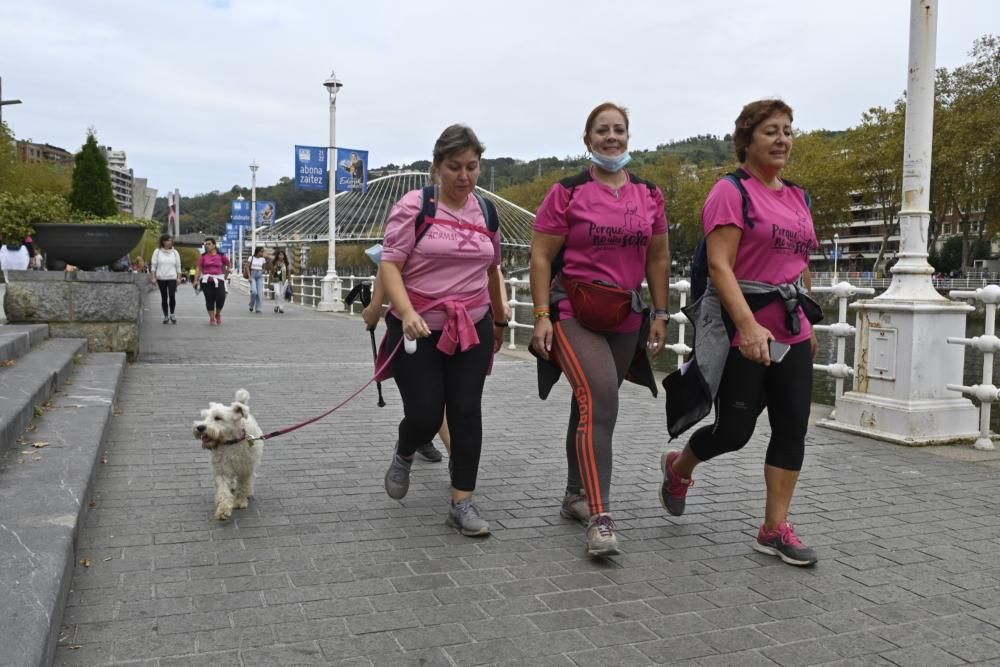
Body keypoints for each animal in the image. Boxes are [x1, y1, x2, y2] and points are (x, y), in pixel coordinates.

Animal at [190, 392, 262, 520]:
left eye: (218, 418)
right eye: (205, 417)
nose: (200, 427)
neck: (231, 442)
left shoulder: (245, 469)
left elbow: (243, 485)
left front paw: (240, 501)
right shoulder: (222, 469)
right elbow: (223, 491)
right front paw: (223, 509)